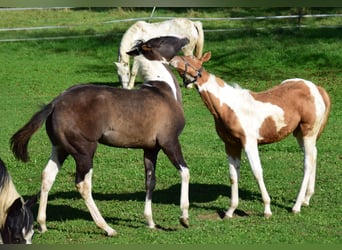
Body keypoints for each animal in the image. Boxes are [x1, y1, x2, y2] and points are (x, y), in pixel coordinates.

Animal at [171, 51, 332, 218]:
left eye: (192, 58)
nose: (173, 59)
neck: (229, 106)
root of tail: (316, 88)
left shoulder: (249, 143)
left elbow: (257, 172)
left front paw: (267, 209)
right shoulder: (231, 145)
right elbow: (233, 175)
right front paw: (230, 211)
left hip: (308, 133)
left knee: (307, 164)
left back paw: (297, 206)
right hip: (299, 134)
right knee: (314, 155)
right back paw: (307, 199)